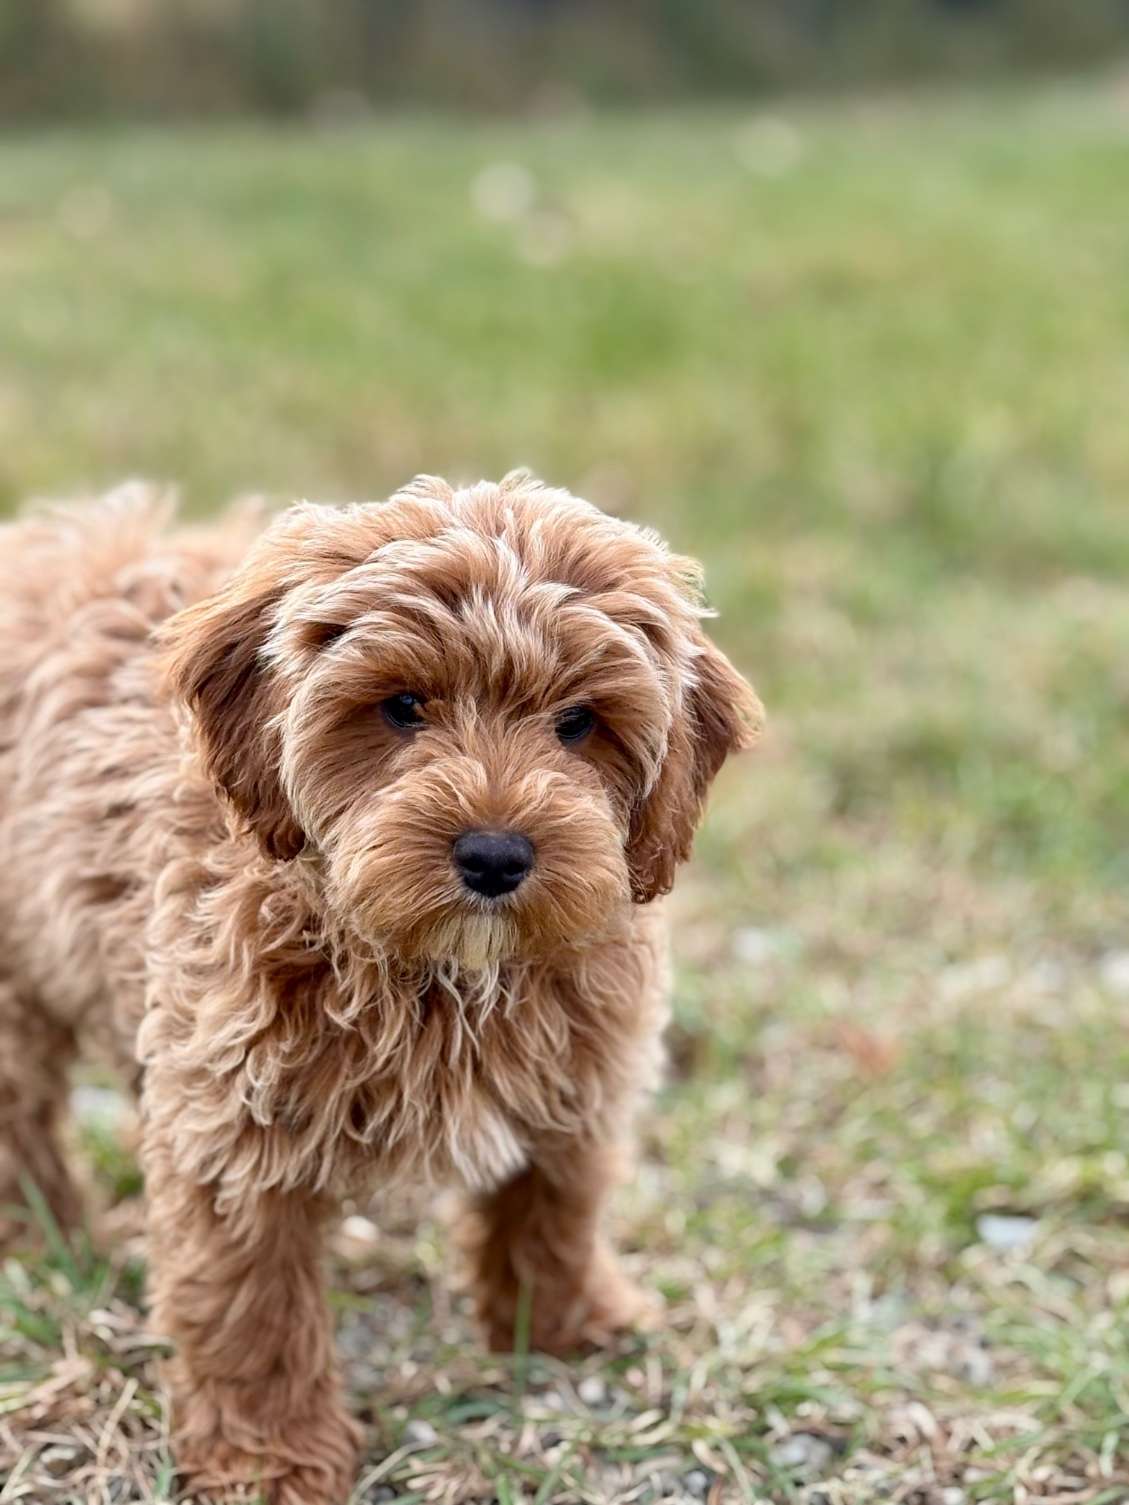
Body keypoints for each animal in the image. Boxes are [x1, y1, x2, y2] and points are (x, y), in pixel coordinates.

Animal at [0, 472, 764, 1505]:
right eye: (403, 705)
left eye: (577, 722)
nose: (495, 854)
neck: (441, 972)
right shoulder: (232, 1119)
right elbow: (250, 1305)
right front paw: (269, 1459)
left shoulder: (583, 1063)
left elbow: (558, 1198)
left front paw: (568, 1325)